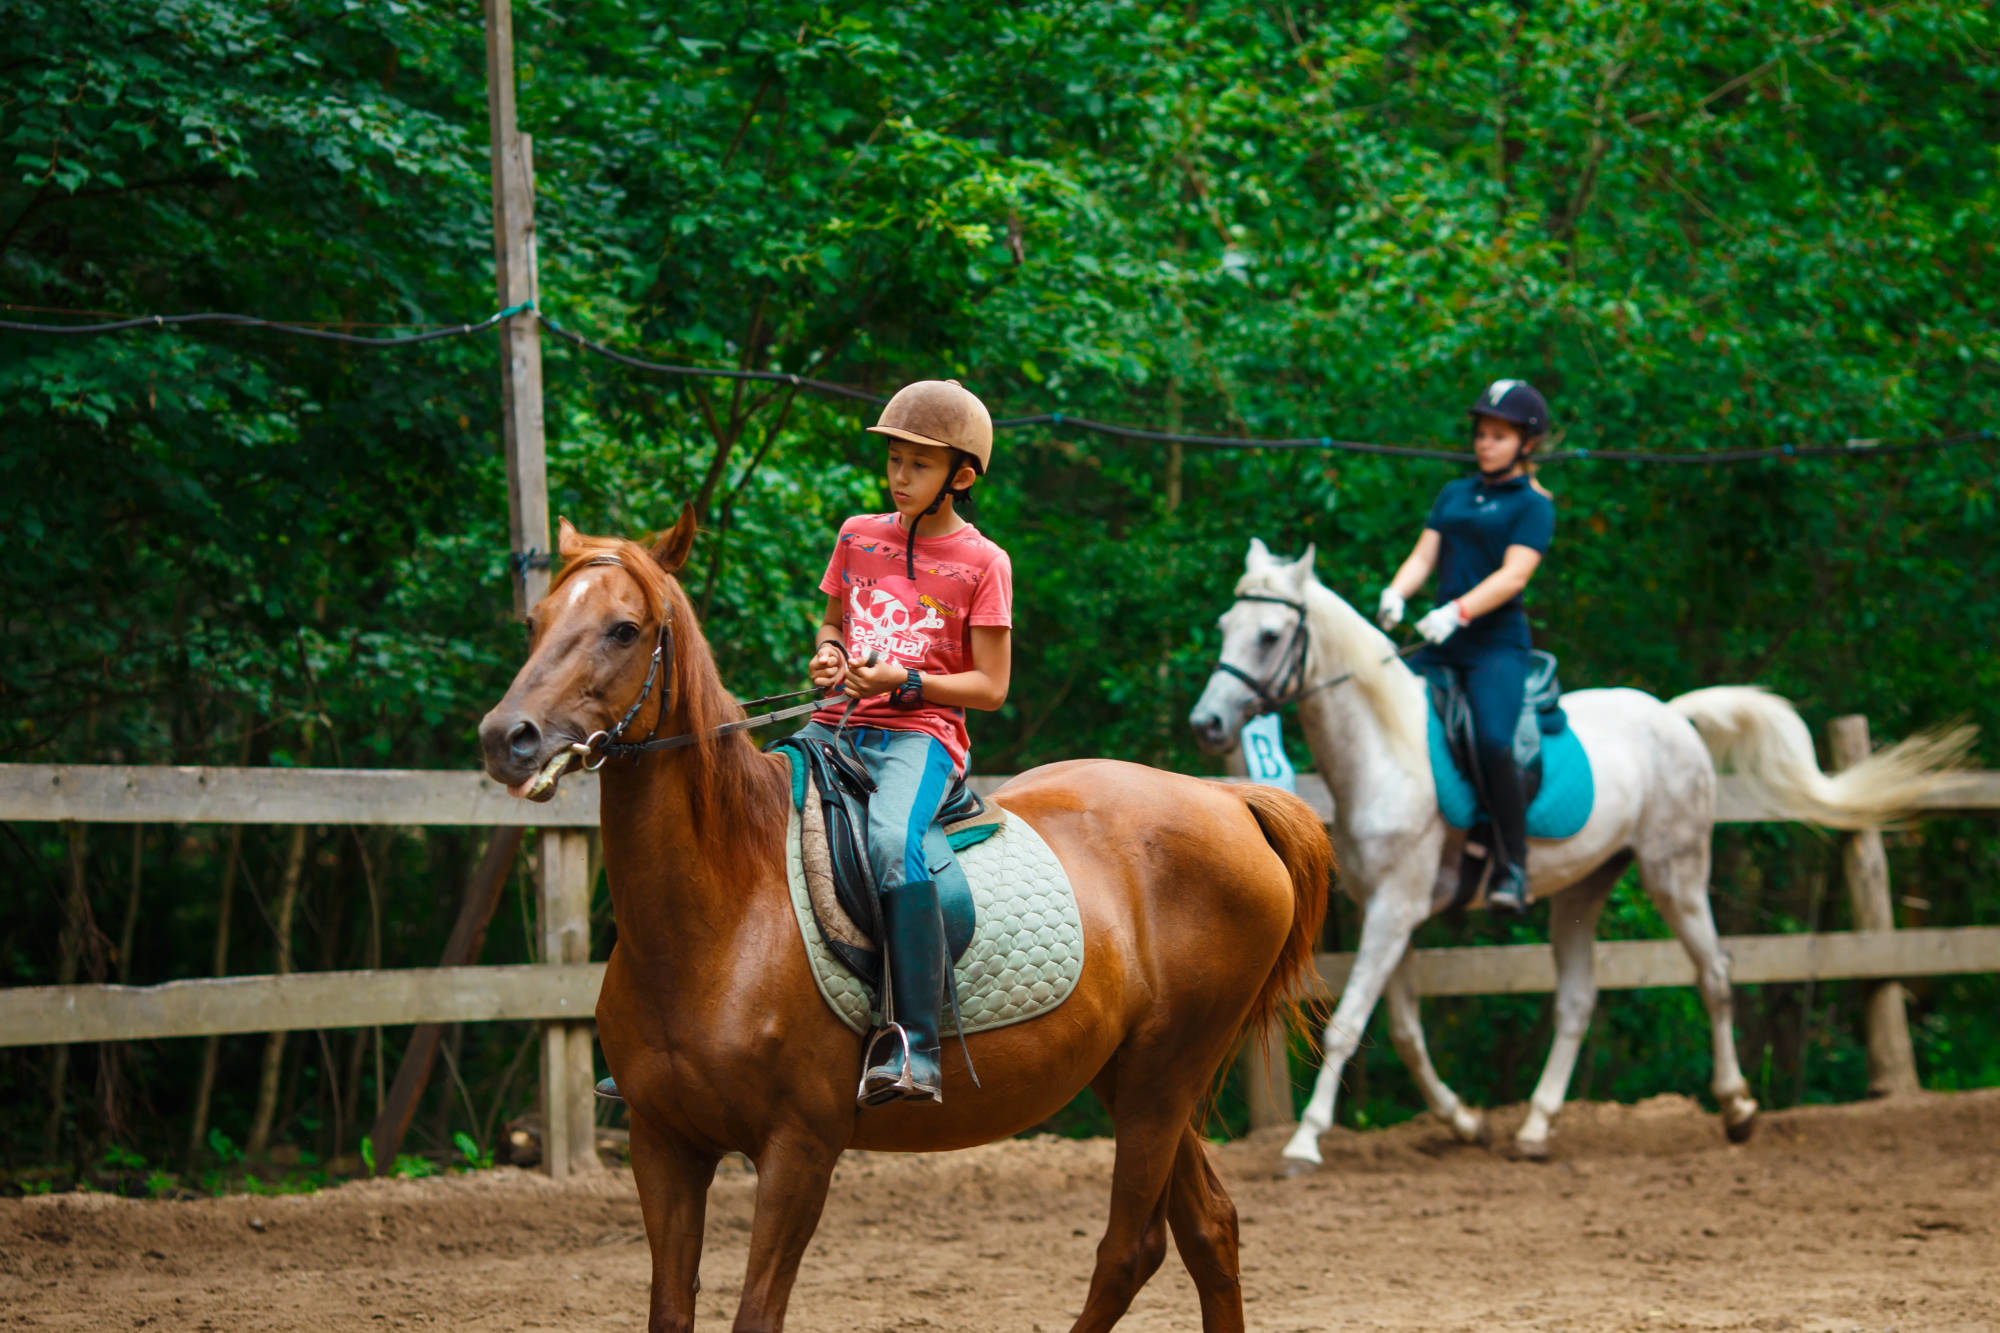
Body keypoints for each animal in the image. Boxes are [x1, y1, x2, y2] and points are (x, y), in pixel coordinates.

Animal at [476, 504, 1336, 1320]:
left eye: (623, 629)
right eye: (535, 620)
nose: (505, 738)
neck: (721, 912)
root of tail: (1227, 800)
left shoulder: (799, 1149)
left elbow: (758, 1309)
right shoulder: (663, 1146)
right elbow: (669, 1308)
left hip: (1166, 1076)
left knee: (1131, 1248)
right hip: (1134, 1079)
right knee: (1209, 1230)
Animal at [1184, 540, 1968, 1160]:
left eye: (1270, 634)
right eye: (1224, 624)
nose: (1208, 722)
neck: (1387, 747)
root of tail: (1672, 715)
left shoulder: (1396, 910)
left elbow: (1349, 1023)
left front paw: (1305, 1141)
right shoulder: (1390, 909)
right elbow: (1402, 1030)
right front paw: (1463, 1120)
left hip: (1675, 873)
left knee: (1713, 973)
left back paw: (1738, 1107)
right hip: (1584, 889)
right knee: (1577, 1000)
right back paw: (1535, 1126)